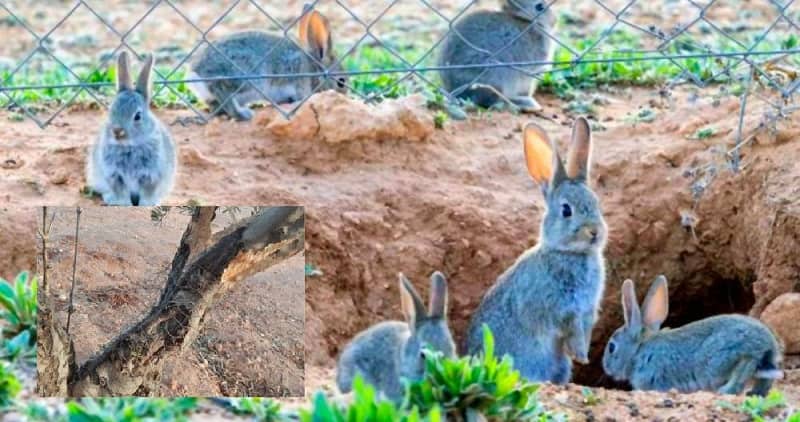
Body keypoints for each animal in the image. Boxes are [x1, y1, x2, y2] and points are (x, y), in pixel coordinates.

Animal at [86, 51, 176, 206]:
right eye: (111, 111)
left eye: (137, 116)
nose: (117, 131)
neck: (129, 146)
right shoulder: (115, 175)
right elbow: (121, 192)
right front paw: (123, 204)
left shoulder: (151, 176)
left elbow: (147, 192)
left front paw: (146, 204)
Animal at [191, 4, 350, 121]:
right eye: (341, 82)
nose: (344, 96)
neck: (314, 70)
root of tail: (197, 72)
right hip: (250, 77)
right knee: (221, 88)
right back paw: (243, 114)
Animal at [462, 117, 608, 384]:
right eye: (566, 210)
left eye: (597, 204)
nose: (594, 232)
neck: (570, 254)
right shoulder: (561, 308)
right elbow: (571, 328)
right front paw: (580, 354)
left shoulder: (587, 310)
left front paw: (582, 356)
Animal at [600, 276, 780, 398]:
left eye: (611, 347)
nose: (606, 367)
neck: (638, 351)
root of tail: (767, 344)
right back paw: (755, 392)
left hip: (720, 359)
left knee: (745, 365)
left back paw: (725, 390)